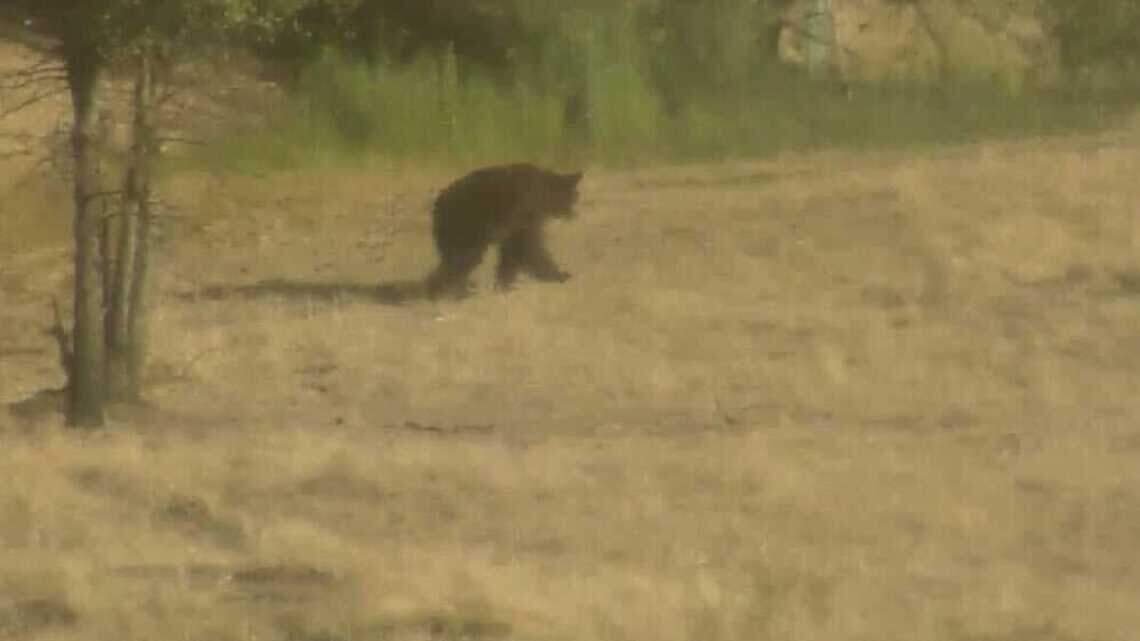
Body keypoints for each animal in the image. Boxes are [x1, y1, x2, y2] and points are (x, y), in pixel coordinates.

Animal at [424, 163, 584, 300]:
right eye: (573, 197)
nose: (575, 214)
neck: (540, 191)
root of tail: (437, 206)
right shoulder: (521, 221)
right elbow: (532, 251)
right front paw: (557, 275)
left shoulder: (514, 229)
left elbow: (510, 253)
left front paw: (504, 283)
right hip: (467, 234)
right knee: (456, 265)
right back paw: (455, 293)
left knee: (450, 265)